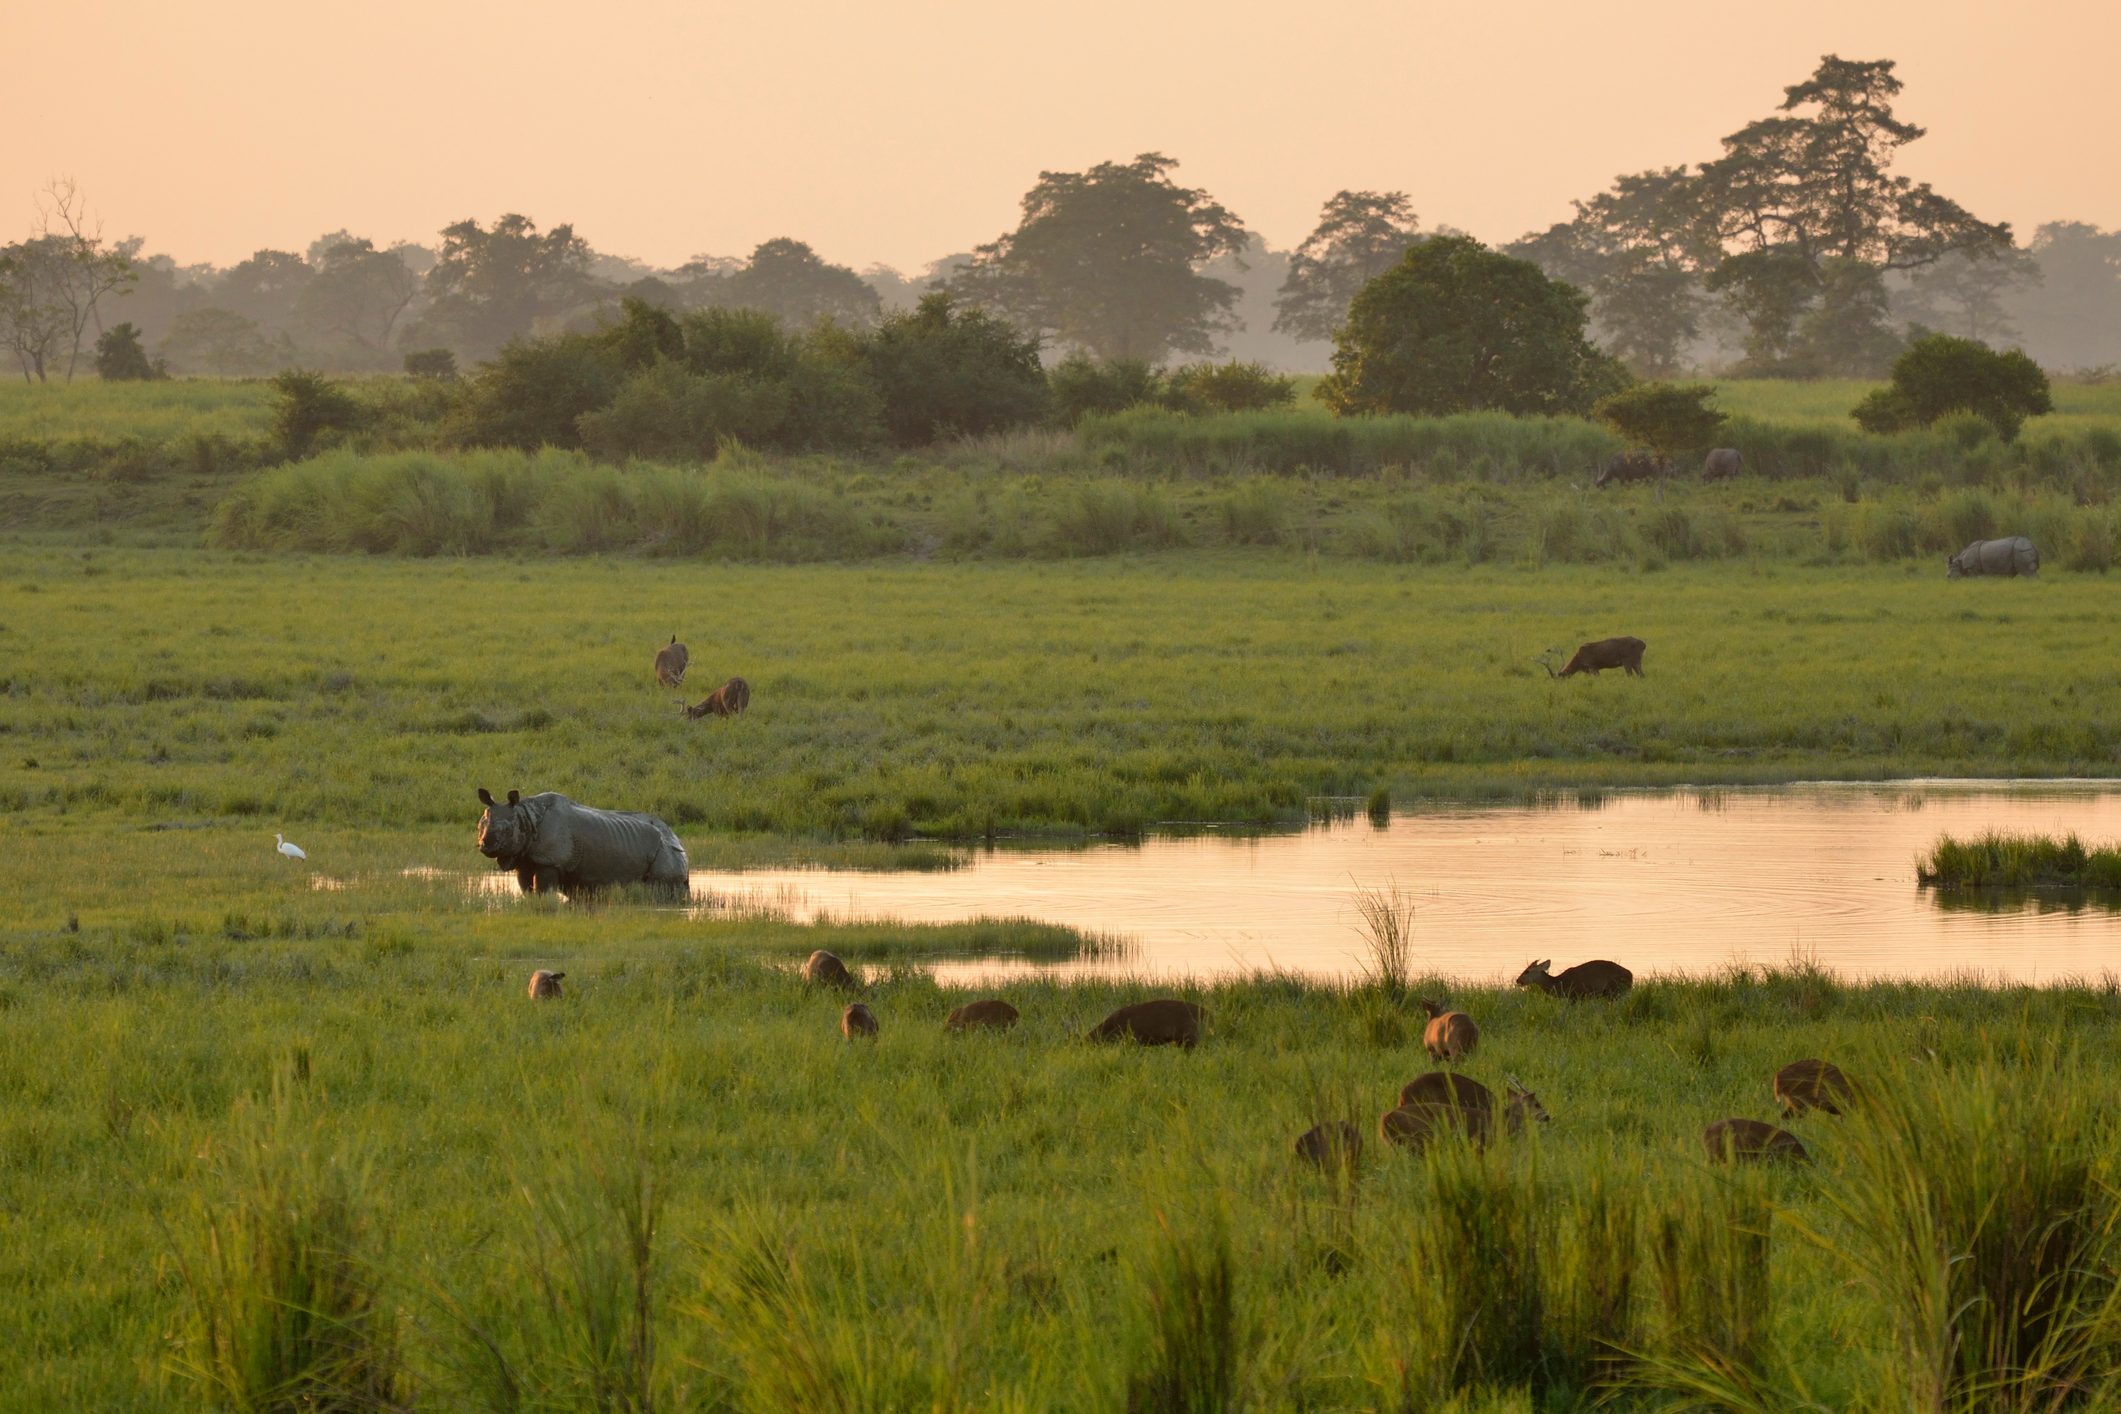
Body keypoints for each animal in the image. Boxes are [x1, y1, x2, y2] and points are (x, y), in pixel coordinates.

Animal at [475, 788, 689, 898]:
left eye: (506, 831)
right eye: (480, 826)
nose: (485, 845)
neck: (525, 816)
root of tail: (678, 840)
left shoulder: (550, 860)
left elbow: (543, 889)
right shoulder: (525, 858)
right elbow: (526, 887)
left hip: (666, 851)